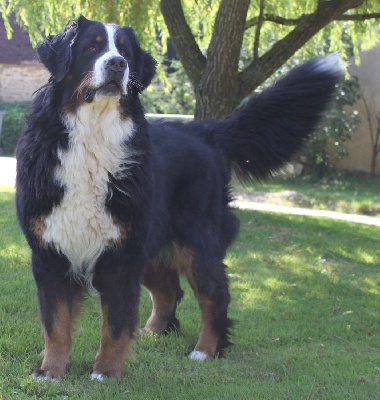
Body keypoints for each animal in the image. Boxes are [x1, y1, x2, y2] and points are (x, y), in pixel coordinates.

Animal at [14, 14, 342, 378]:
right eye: (91, 47)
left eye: (125, 51)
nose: (117, 64)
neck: (92, 137)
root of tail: (207, 130)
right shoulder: (50, 251)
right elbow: (55, 323)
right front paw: (51, 372)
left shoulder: (121, 255)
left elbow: (114, 323)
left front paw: (106, 372)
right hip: (154, 243)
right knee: (168, 290)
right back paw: (152, 332)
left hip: (196, 241)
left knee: (214, 295)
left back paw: (204, 350)